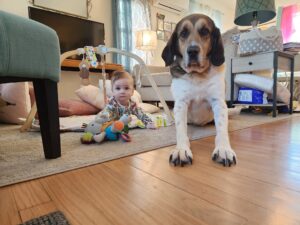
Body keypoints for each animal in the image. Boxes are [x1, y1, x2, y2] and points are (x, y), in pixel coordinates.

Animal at [162, 13, 237, 166]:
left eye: (204, 31)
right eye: (183, 33)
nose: (192, 51)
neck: (197, 75)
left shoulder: (218, 103)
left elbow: (222, 128)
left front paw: (223, 149)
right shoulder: (180, 104)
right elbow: (181, 130)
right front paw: (181, 149)